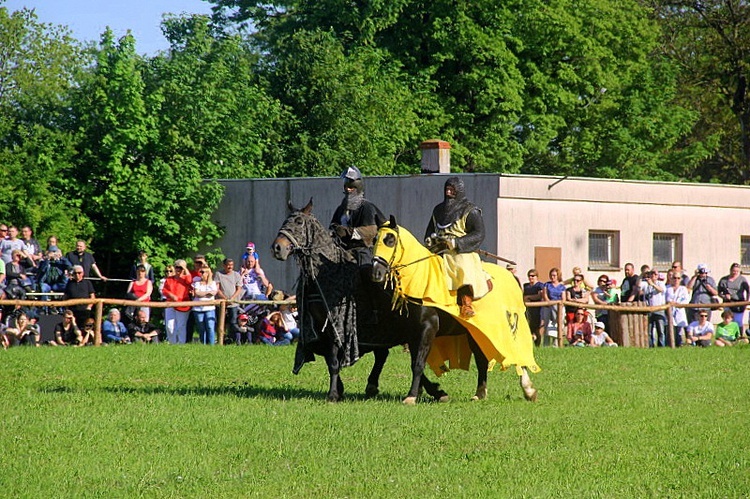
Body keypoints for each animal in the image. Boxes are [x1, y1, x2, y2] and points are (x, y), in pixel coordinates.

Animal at [270, 197, 516, 404]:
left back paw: (480, 392)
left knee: (481, 357)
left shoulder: (338, 327)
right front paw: (339, 390)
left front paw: (334, 394)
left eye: (299, 222)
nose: (277, 248)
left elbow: (336, 360)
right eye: (285, 221)